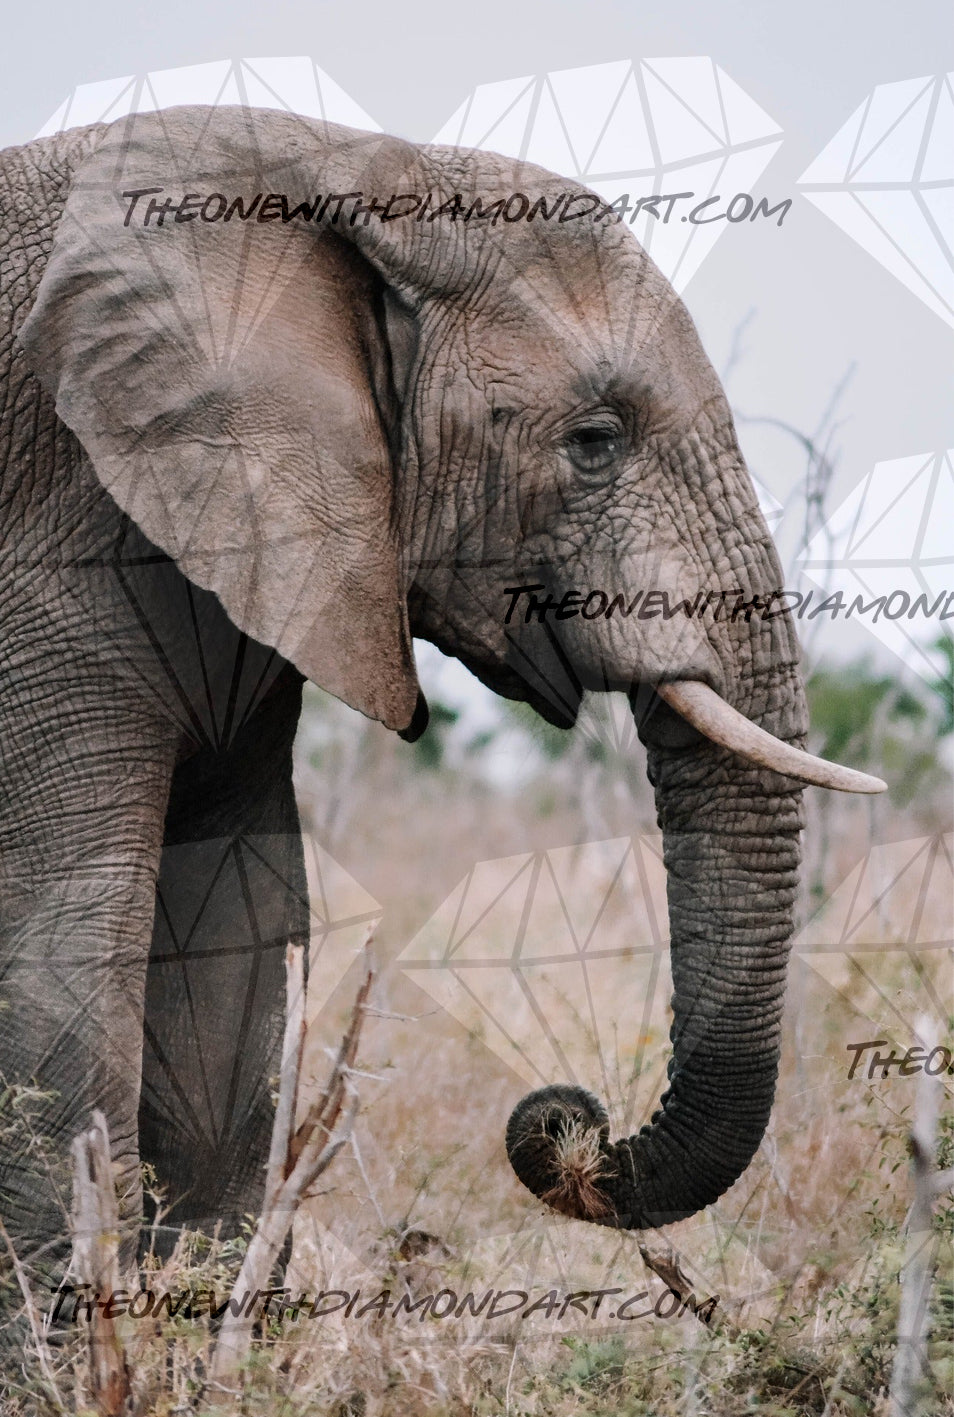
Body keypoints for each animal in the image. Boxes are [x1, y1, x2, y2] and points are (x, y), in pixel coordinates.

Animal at [0, 102, 884, 1273]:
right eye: (595, 441)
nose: (566, 1116)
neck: (348, 172)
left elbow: (238, 929)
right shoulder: (56, 549)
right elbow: (65, 939)